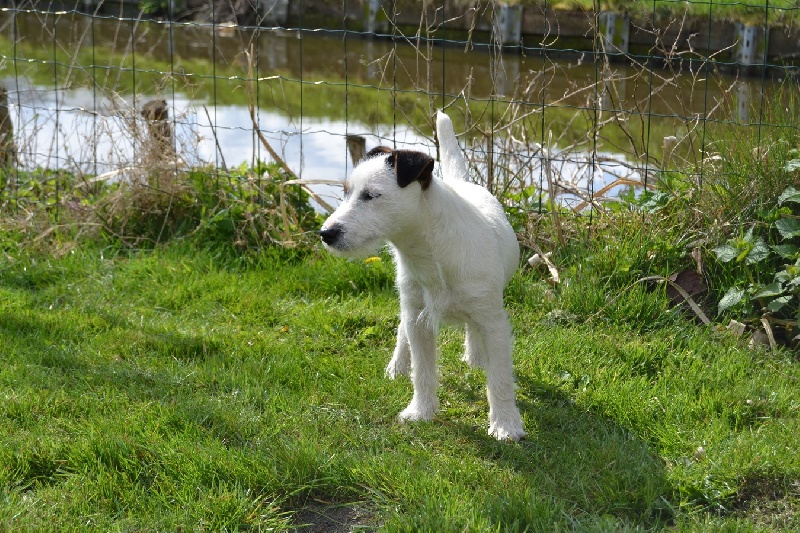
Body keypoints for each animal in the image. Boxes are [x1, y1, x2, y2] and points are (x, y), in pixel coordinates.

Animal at [318, 111, 524, 440]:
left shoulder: (493, 321)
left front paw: (506, 425)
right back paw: (398, 365)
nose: (326, 233)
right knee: (403, 330)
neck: (430, 253)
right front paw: (421, 412)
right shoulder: (419, 320)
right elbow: (423, 370)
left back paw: (475, 357)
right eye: (346, 192)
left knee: (473, 331)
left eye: (371, 195)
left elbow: (500, 379)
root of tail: (460, 182)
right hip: (410, 299)